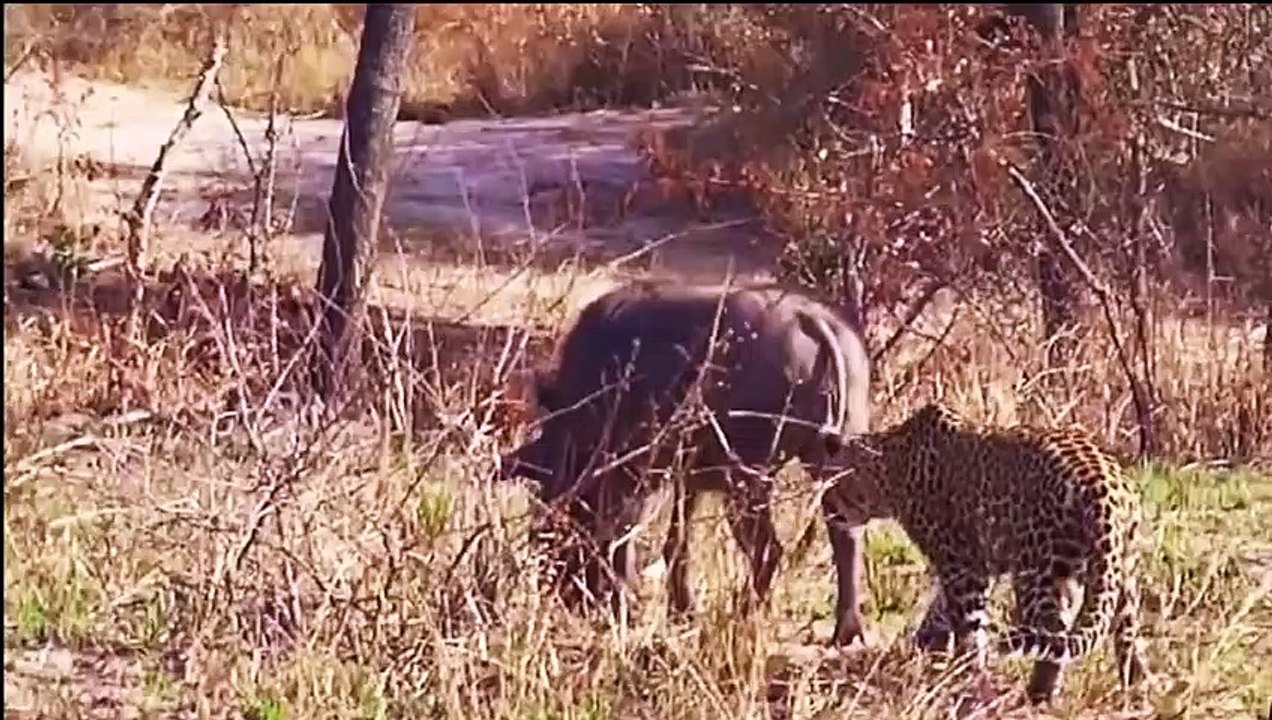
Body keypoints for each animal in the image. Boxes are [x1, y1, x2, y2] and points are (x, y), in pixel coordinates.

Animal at [820, 401, 1148, 703]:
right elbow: (944, 606)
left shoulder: (961, 562)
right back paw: (1137, 685)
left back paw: (1038, 694)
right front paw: (930, 641)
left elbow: (967, 620)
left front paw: (967, 672)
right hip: (1121, 568)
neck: (892, 468)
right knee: (1125, 630)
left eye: (830, 483)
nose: (824, 507)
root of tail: (1103, 485)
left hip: (1039, 572)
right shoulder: (981, 561)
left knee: (1054, 630)